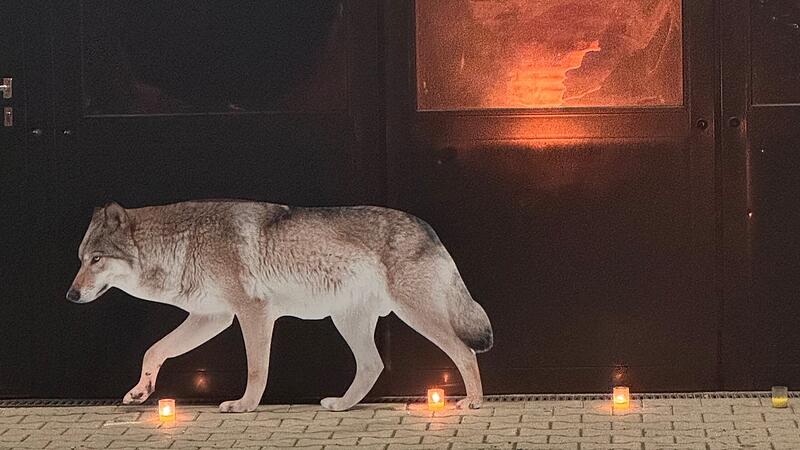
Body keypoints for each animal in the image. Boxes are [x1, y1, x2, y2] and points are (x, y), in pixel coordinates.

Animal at [67, 200, 493, 412]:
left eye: (96, 260)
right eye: (81, 260)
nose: (70, 296)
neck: (182, 244)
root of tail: (427, 226)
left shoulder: (252, 313)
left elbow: (257, 371)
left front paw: (244, 406)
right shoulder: (213, 317)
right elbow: (153, 351)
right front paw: (141, 392)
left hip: (416, 315)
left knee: (465, 352)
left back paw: (473, 401)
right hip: (348, 322)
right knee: (373, 366)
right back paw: (341, 405)